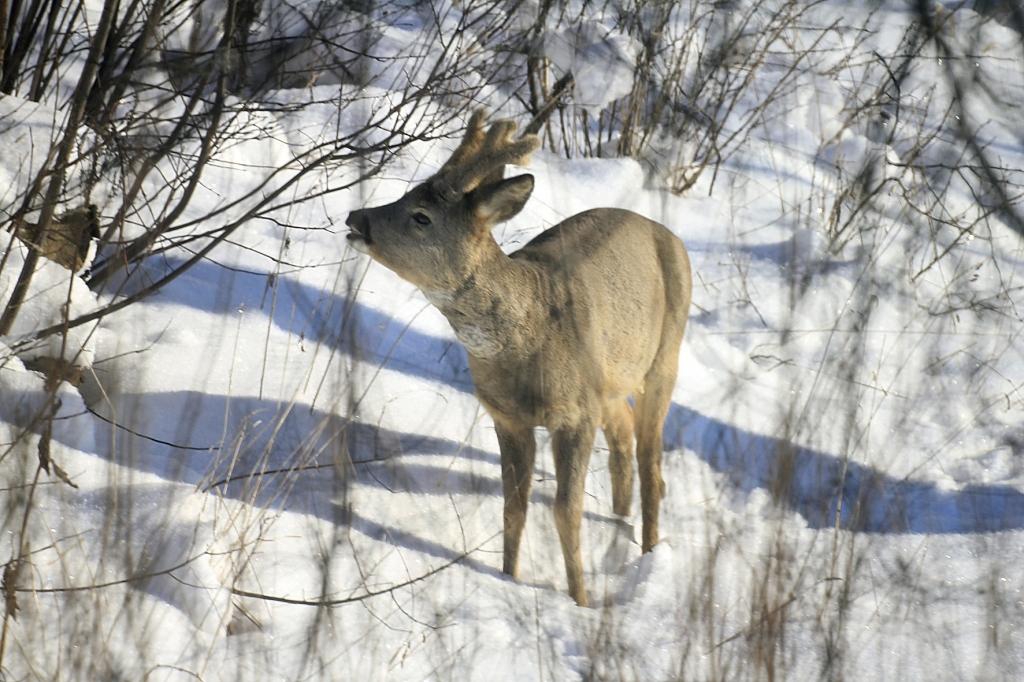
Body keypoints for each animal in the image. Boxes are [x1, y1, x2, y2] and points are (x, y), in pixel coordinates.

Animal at [348, 111, 692, 606]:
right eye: (407, 194)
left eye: (421, 216)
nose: (356, 217)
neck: (527, 336)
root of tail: (668, 234)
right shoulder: (506, 415)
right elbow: (514, 505)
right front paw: (509, 577)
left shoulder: (575, 414)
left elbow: (565, 511)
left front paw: (580, 600)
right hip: (609, 380)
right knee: (625, 432)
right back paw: (620, 518)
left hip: (667, 352)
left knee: (652, 459)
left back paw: (648, 550)